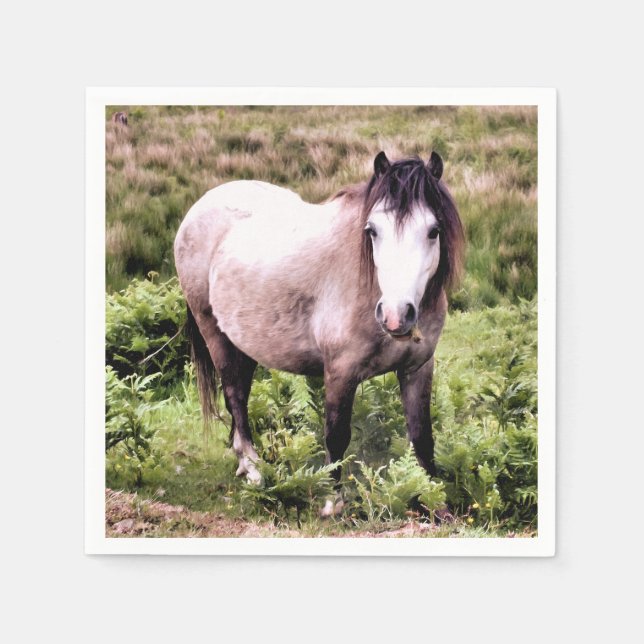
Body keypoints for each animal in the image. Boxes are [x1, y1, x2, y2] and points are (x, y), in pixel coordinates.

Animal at [174, 151, 464, 516]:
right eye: (373, 230)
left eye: (433, 230)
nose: (396, 316)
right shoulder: (340, 371)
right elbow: (336, 435)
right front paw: (332, 503)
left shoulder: (418, 368)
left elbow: (422, 436)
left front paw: (434, 502)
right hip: (214, 333)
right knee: (235, 397)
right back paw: (254, 469)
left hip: (244, 342)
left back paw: (242, 460)